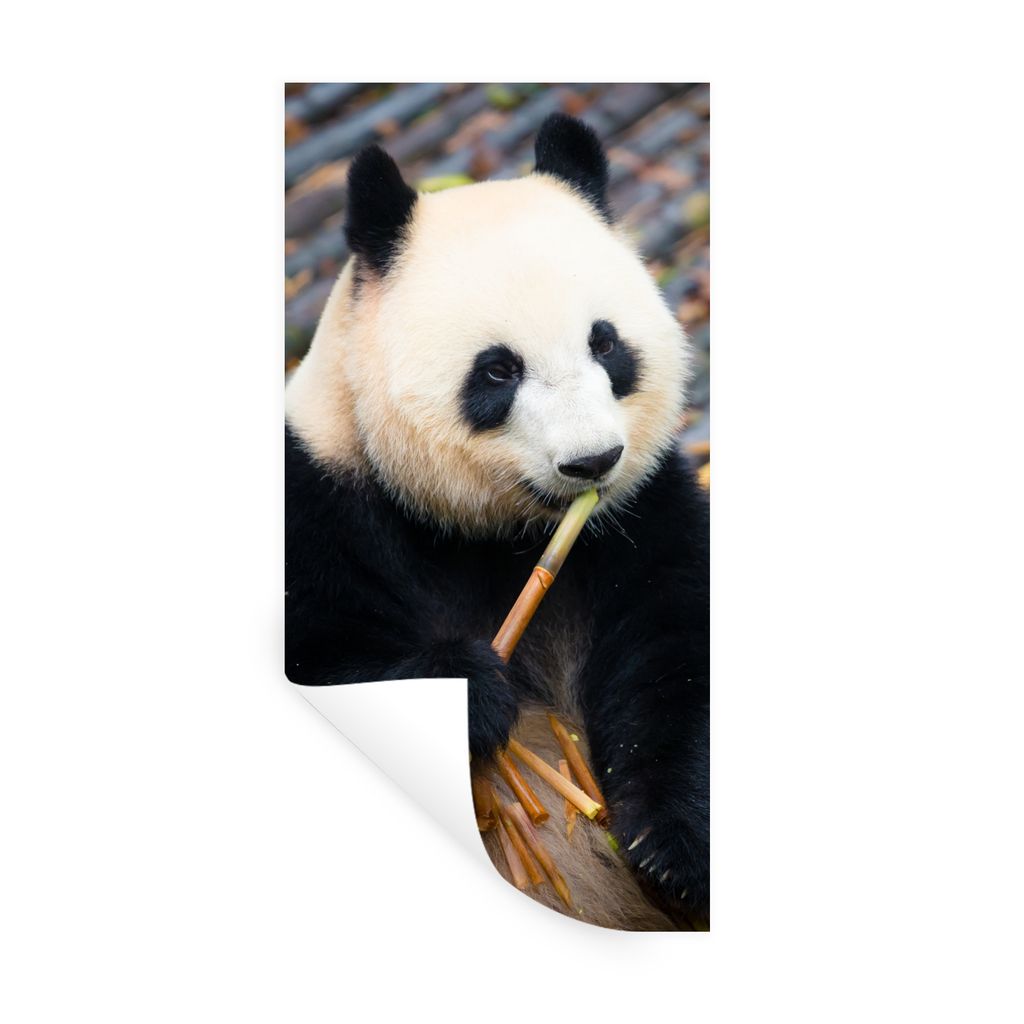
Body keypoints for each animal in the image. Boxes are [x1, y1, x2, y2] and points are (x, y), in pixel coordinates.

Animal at [286, 114, 709, 930]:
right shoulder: (323, 508)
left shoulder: (642, 518)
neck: (498, 535)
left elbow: (678, 654)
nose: (592, 462)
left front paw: (670, 848)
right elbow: (323, 651)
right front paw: (474, 685)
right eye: (498, 369)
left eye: (605, 342)